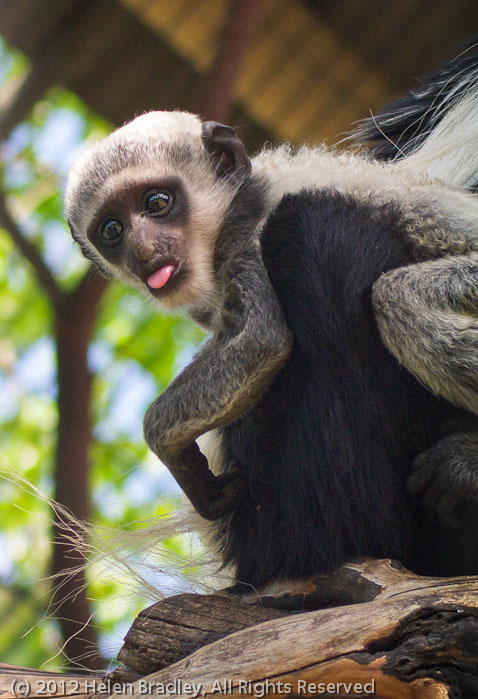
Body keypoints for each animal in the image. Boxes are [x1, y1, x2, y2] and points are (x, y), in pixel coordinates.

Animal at [65, 49, 478, 588]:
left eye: (157, 203)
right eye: (111, 230)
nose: (143, 250)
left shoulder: (242, 231)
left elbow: (262, 338)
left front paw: (169, 444)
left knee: (392, 295)